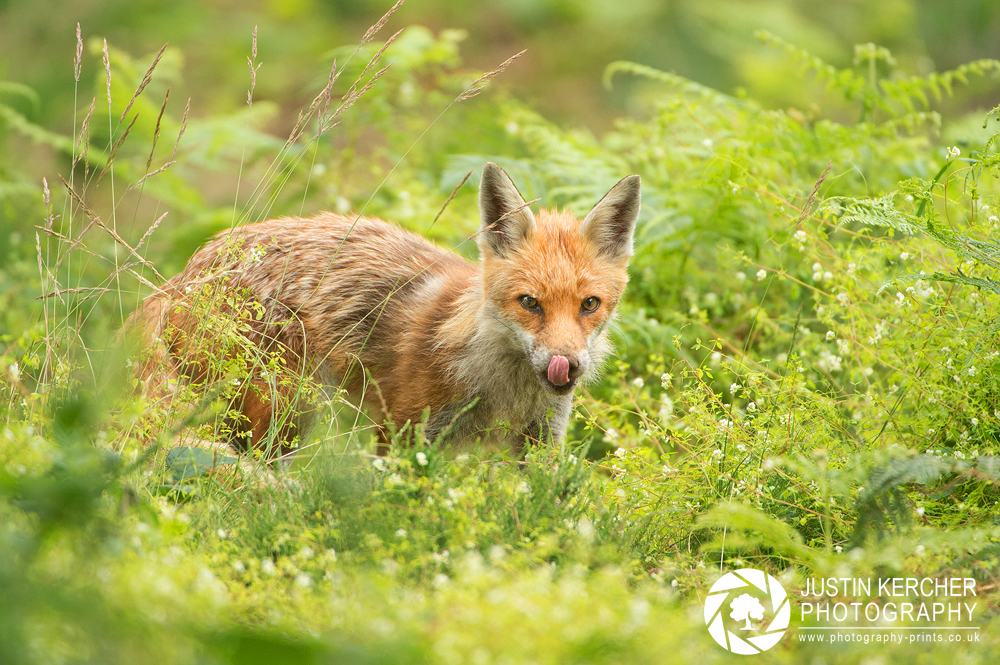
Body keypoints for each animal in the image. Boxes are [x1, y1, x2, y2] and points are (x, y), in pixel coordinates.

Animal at [133, 163, 640, 456]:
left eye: (589, 305)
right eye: (529, 303)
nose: (567, 365)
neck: (502, 389)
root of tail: (183, 276)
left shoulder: (539, 445)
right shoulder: (404, 434)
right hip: (280, 409)